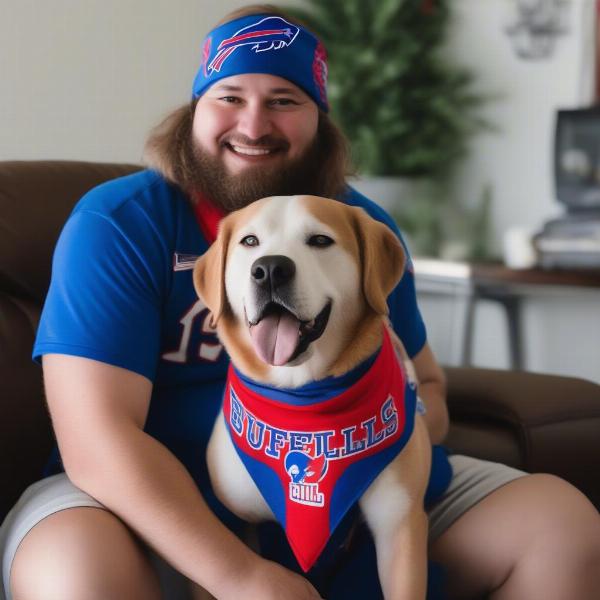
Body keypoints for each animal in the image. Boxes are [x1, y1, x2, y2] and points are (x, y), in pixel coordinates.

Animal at [195, 195, 434, 596]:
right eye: (249, 242)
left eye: (321, 240)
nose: (269, 269)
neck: (304, 399)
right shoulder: (233, 519)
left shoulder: (399, 524)